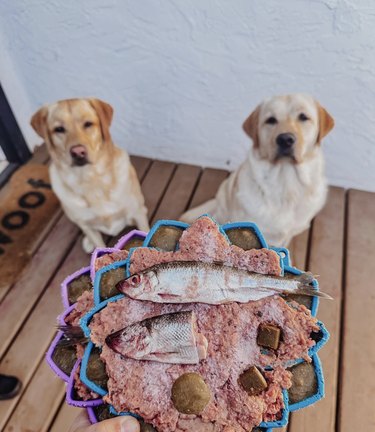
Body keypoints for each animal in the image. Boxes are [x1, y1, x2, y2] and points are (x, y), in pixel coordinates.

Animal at [30, 98, 149, 253]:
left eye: (88, 124)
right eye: (59, 129)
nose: (78, 152)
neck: (91, 180)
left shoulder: (137, 213)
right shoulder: (87, 226)